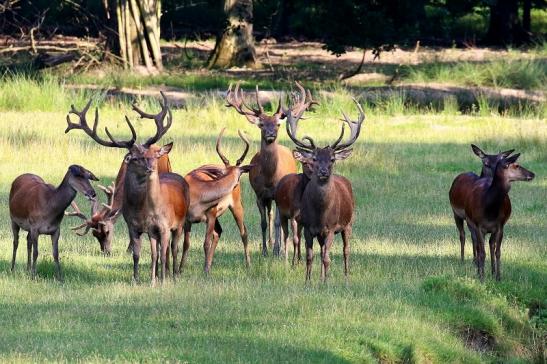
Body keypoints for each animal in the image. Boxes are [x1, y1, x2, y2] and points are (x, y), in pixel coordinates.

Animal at [66, 94, 191, 284]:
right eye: (95, 235)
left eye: (107, 231)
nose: (106, 252)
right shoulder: (132, 224)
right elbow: (137, 254)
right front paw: (136, 278)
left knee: (172, 245)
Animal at [183, 128, 254, 272]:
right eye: (221, 174)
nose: (235, 185)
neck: (197, 190)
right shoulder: (188, 220)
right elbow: (186, 244)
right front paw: (180, 269)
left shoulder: (210, 215)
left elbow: (206, 243)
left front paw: (205, 271)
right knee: (219, 232)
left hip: (236, 207)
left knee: (243, 233)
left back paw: (248, 265)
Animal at [224, 80, 316, 256]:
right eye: (261, 124)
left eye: (278, 124)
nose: (271, 134)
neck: (269, 178)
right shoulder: (259, 195)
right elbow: (264, 222)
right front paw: (265, 251)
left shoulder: (277, 194)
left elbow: (278, 222)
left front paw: (277, 251)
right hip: (268, 199)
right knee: (271, 215)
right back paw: (271, 243)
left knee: (278, 219)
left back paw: (278, 247)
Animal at [284, 99, 366, 282]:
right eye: (314, 158)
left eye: (332, 159)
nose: (323, 172)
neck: (320, 215)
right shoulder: (308, 226)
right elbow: (310, 256)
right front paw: (308, 281)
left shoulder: (331, 227)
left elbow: (328, 258)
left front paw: (326, 282)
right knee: (321, 250)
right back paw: (321, 277)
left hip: (349, 223)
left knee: (345, 250)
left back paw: (346, 277)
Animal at [464, 154, 536, 282]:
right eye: (516, 165)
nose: (532, 174)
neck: (489, 210)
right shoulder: (478, 225)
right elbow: (482, 252)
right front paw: (481, 277)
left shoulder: (500, 226)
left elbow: (498, 252)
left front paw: (498, 277)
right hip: (471, 222)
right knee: (478, 246)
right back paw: (479, 271)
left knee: (491, 245)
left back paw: (492, 272)